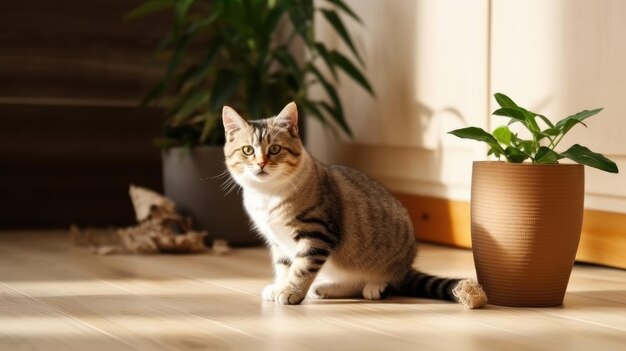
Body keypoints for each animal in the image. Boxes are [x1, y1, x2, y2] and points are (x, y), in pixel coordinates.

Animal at [222, 102, 486, 308]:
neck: (267, 195)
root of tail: (407, 265)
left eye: (275, 149)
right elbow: (284, 267)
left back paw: (375, 286)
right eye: (247, 150)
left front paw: (290, 292)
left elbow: (302, 267)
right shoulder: (279, 242)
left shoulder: (317, 234)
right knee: (352, 282)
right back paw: (326, 288)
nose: (261, 164)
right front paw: (279, 286)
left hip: (389, 263)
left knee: (388, 281)